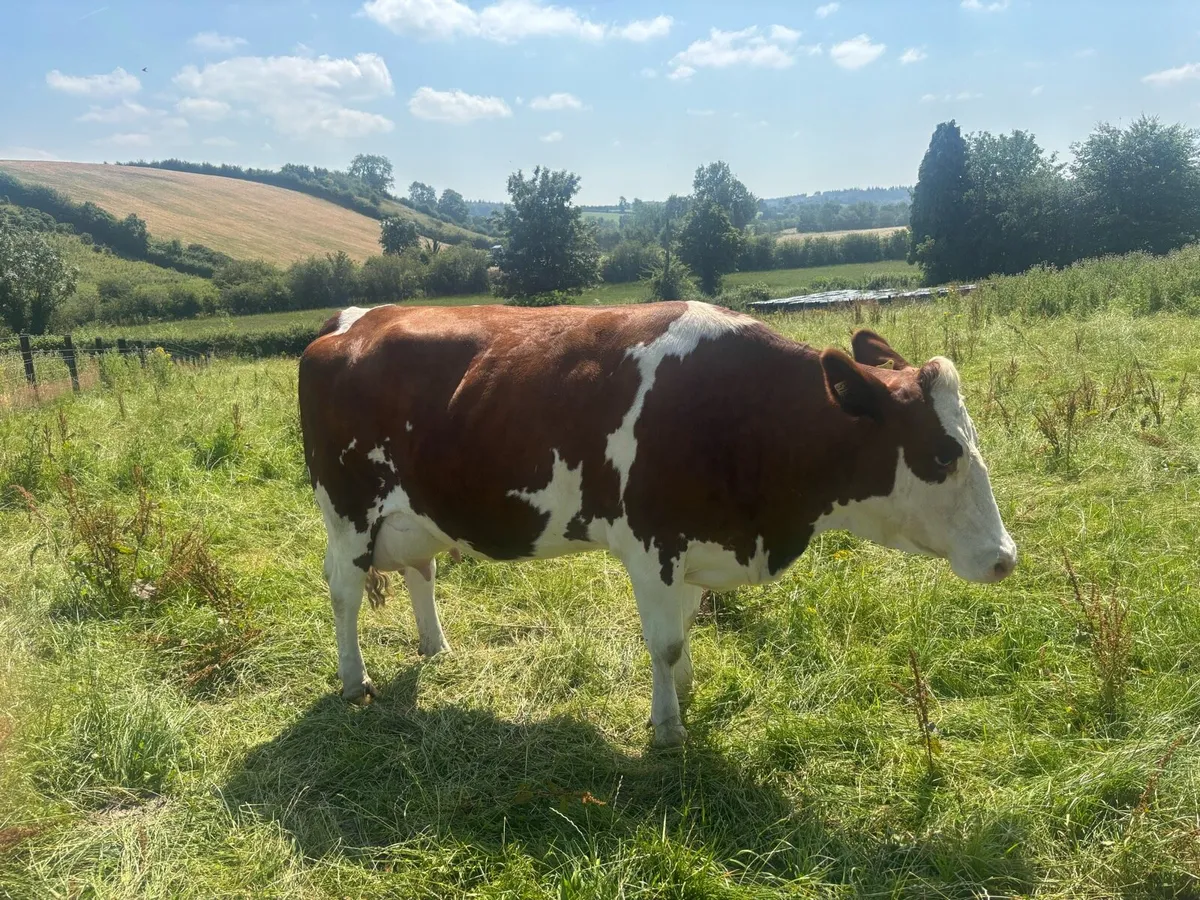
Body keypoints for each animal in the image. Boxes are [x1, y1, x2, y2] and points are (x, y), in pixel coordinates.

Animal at [298, 301, 1017, 747]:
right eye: (942, 454)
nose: (1005, 556)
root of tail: (355, 319)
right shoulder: (651, 546)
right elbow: (664, 641)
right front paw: (669, 727)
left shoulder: (698, 544)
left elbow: (687, 626)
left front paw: (688, 689)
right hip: (348, 512)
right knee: (342, 589)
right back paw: (355, 680)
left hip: (413, 513)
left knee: (419, 569)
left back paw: (435, 647)